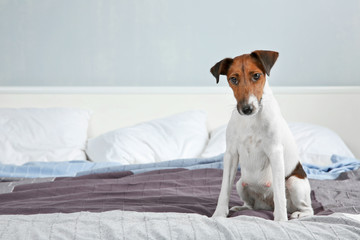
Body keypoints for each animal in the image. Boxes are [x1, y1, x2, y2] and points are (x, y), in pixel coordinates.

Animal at [210, 50, 314, 221]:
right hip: (240, 184)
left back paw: (298, 213)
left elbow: (279, 195)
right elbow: (224, 189)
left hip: (295, 183)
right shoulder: (231, 154)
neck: (251, 119)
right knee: (251, 205)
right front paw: (218, 214)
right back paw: (242, 207)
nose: (247, 108)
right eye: (233, 79)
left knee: (307, 208)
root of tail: (266, 204)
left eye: (256, 76)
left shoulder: (275, 152)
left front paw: (280, 220)